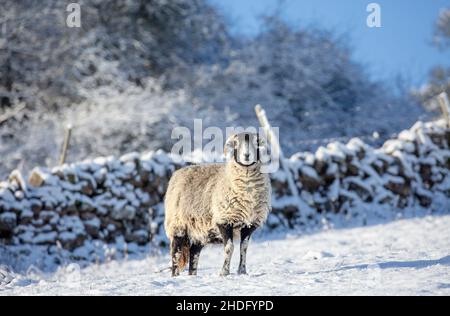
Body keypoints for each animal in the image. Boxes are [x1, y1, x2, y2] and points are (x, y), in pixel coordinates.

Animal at [164, 131, 270, 276]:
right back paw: (175, 276)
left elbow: (244, 248)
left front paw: (242, 271)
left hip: (198, 230)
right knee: (176, 254)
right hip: (178, 225)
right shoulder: (224, 220)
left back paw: (192, 276)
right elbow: (229, 247)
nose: (246, 155)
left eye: (256, 142)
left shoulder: (250, 224)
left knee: (194, 254)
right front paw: (224, 272)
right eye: (236, 143)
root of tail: (180, 171)